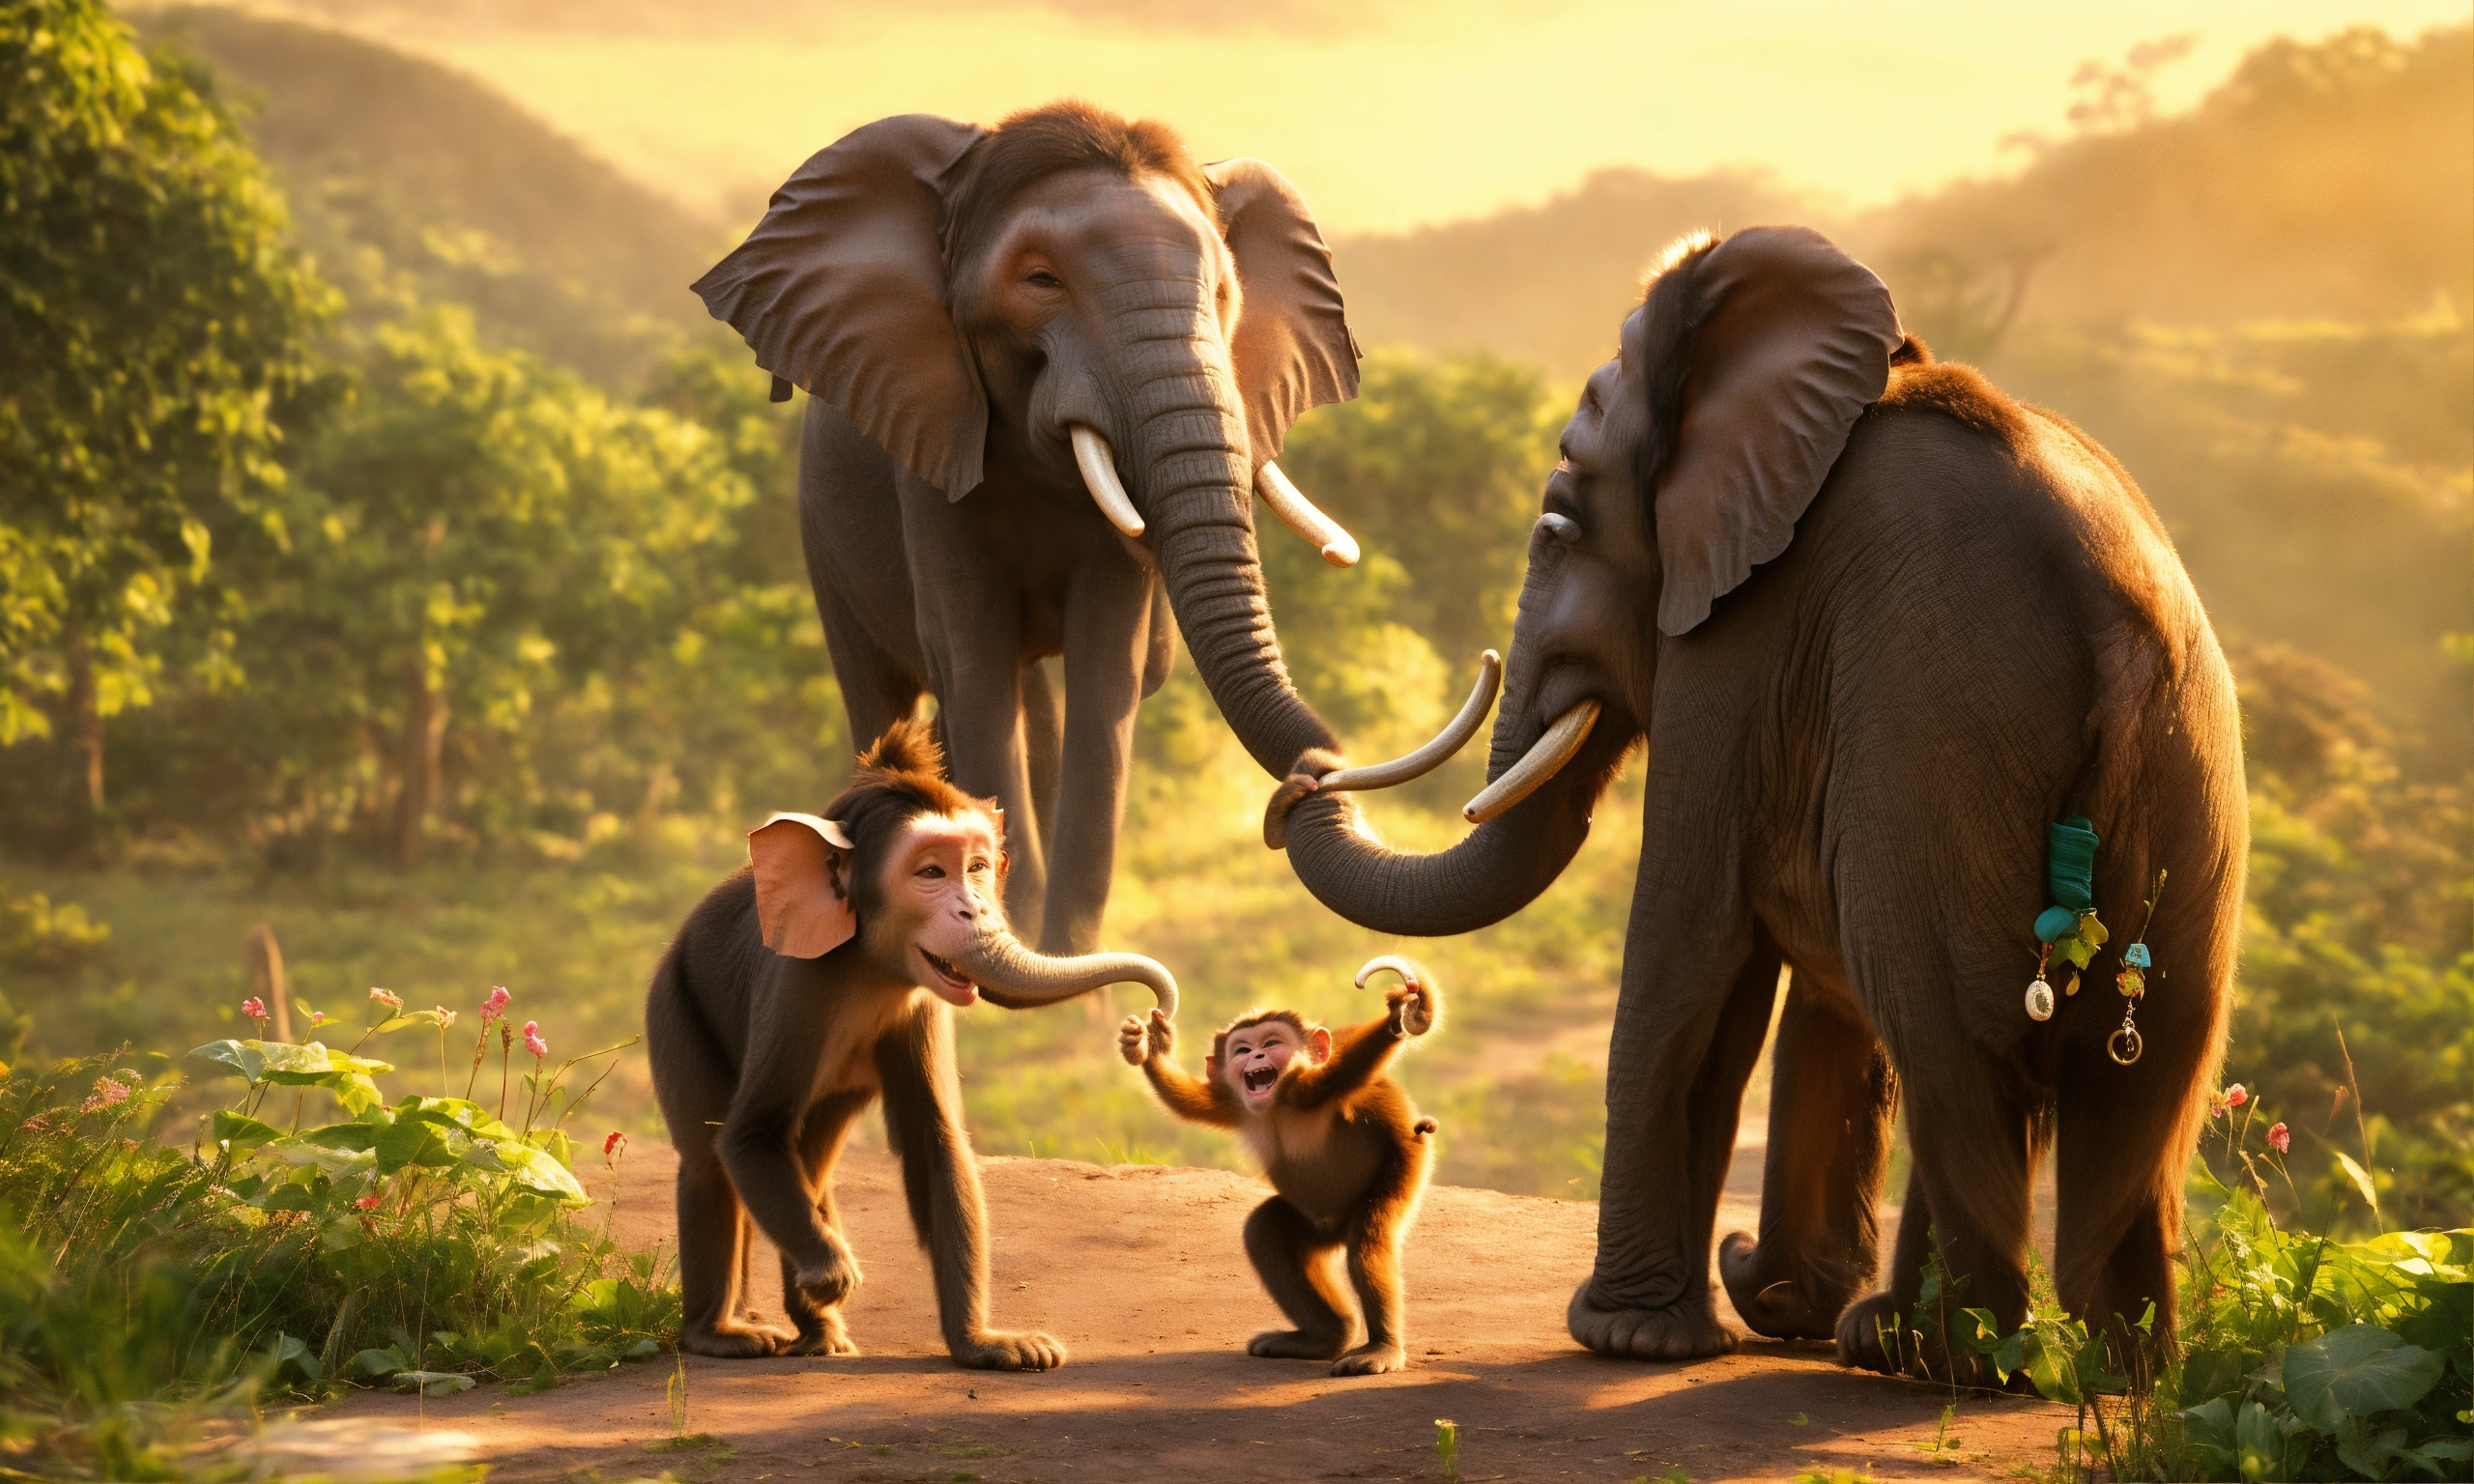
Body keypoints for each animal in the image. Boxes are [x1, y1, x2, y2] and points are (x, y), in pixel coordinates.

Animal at [646, 717, 1174, 1367]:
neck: (872, 964)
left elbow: (934, 1141)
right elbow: (750, 1136)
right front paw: (831, 1271)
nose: (1145, 1024)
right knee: (708, 1160)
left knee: (810, 1162)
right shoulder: (799, 984)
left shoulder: (923, 1003)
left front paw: (984, 1344)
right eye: (931, 874)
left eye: (977, 867)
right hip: (672, 1003)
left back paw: (814, 1329)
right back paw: (719, 1332)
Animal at [1118, 955, 1440, 1376]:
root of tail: (1333, 1231)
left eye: (1271, 1043)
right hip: (1315, 1227)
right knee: (1265, 1229)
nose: (1256, 1057)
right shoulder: (1234, 1102)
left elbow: (1351, 1066)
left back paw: (1380, 1348)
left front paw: (1402, 1015)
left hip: (1406, 1162)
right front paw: (1151, 1046)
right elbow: (1189, 1102)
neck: (1277, 1105)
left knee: (1369, 1239)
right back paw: (1324, 1339)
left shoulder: (1312, 1088)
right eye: (1242, 1049)